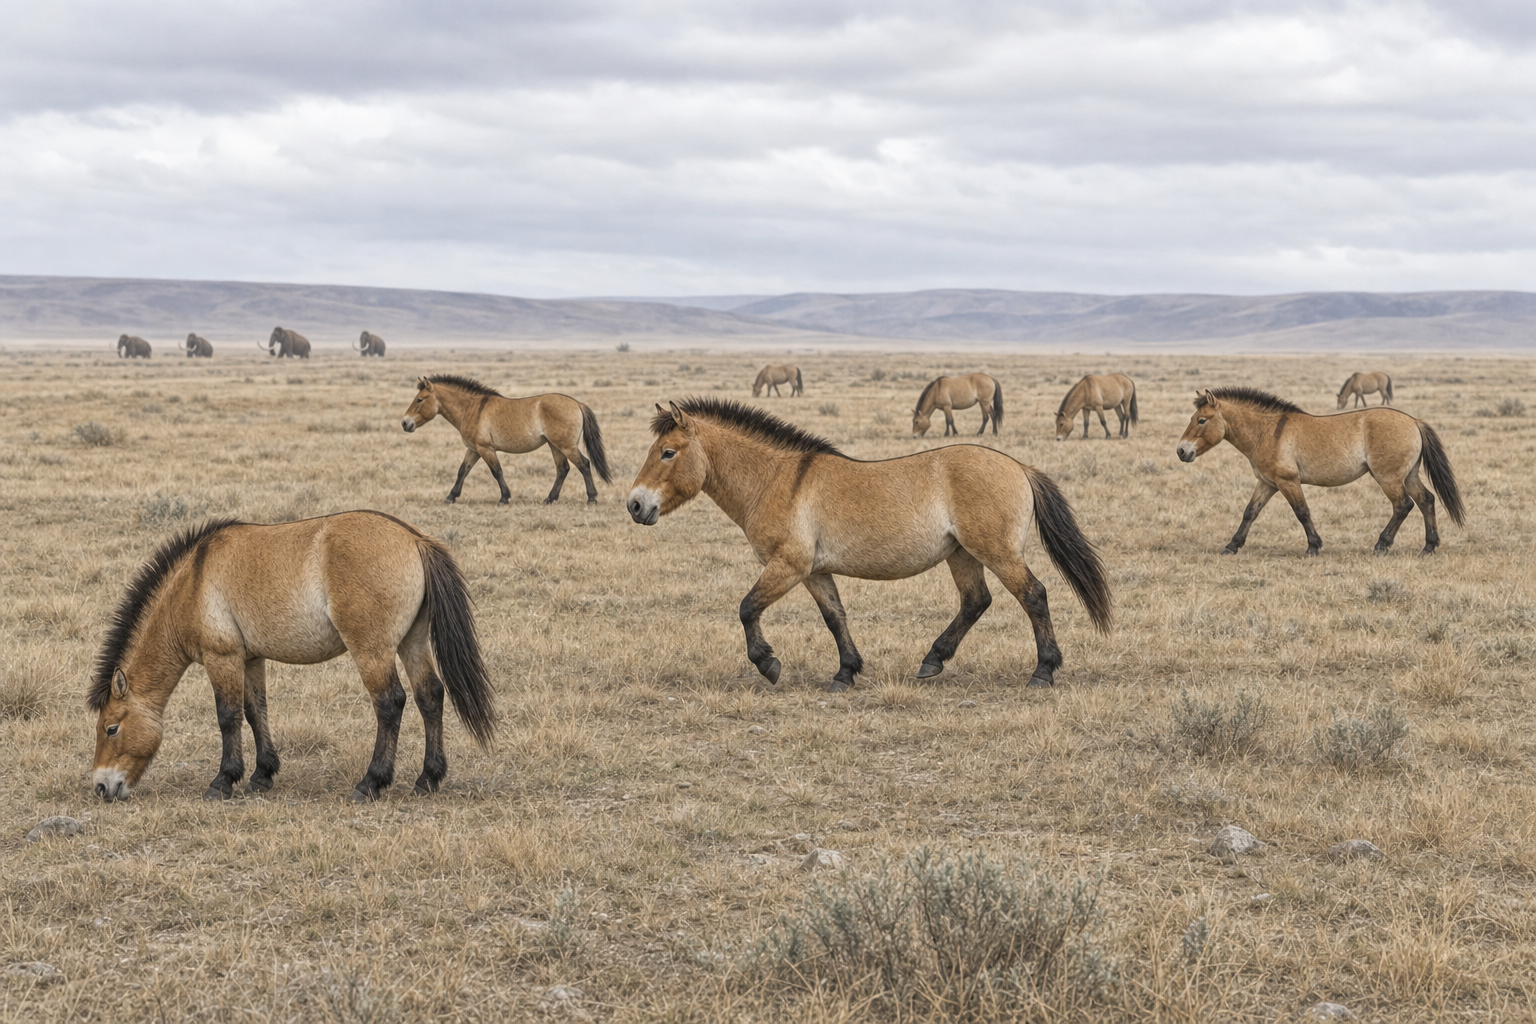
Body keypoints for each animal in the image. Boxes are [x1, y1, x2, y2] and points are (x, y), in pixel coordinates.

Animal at [87, 511, 498, 804]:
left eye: (111, 728)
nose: (102, 787)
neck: (194, 579)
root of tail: (413, 538)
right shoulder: (251, 659)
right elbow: (256, 712)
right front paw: (262, 774)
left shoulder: (222, 658)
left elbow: (228, 717)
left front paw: (223, 781)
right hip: (411, 643)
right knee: (430, 696)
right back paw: (428, 779)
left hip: (372, 651)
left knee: (390, 703)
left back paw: (370, 783)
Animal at [401, 374, 613, 505]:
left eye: (420, 399)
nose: (405, 423)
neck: (471, 409)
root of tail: (577, 403)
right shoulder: (474, 449)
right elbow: (463, 471)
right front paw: (451, 496)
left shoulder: (485, 449)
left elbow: (497, 471)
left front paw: (504, 497)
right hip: (555, 446)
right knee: (563, 469)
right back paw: (549, 499)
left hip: (566, 446)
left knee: (583, 464)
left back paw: (592, 498)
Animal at [627, 398, 1111, 691]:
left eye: (668, 452)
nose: (635, 504)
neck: (777, 480)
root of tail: (1019, 467)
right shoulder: (815, 572)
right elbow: (834, 617)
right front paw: (846, 672)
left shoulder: (788, 566)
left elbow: (747, 608)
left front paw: (768, 664)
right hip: (962, 555)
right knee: (976, 602)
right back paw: (932, 661)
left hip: (996, 552)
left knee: (1033, 595)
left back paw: (1042, 672)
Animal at [1176, 387, 1464, 557]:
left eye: (1201, 420)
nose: (1181, 451)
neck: (1267, 432)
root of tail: (1414, 421)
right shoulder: (1267, 483)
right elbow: (1250, 513)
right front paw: (1231, 546)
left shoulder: (1288, 482)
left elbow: (1302, 512)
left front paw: (1313, 547)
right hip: (1408, 475)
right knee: (1426, 500)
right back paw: (1428, 547)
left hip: (1389, 478)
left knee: (1403, 505)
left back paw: (1381, 545)